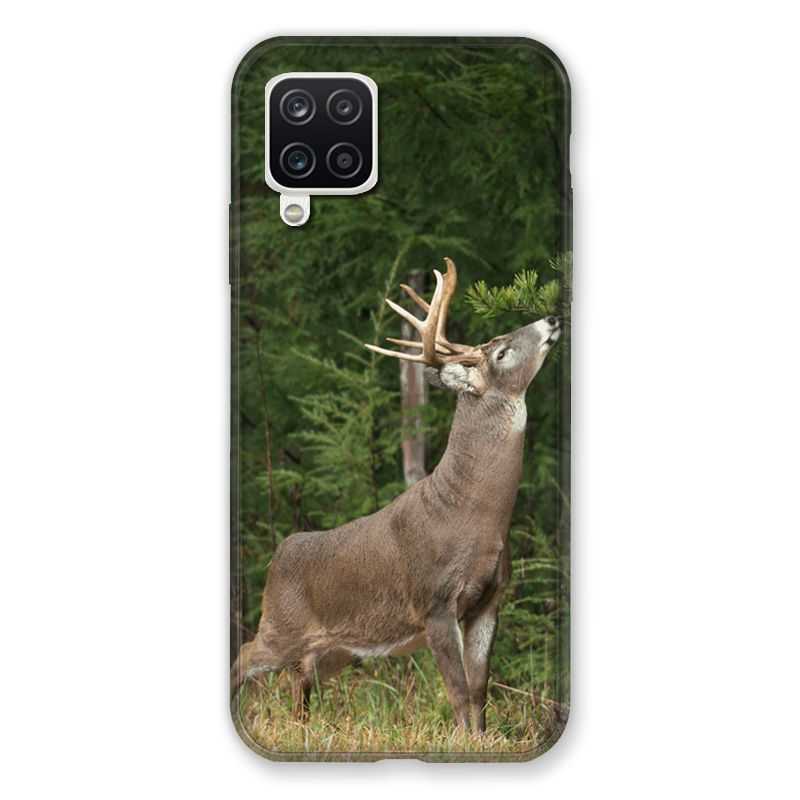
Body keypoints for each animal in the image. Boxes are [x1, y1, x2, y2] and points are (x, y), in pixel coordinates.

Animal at [232, 257, 561, 732]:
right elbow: (458, 691)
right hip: (280, 624)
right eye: (501, 352)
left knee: (299, 684)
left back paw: (303, 728)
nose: (552, 318)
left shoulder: (490, 600)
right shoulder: (435, 602)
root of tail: (278, 556)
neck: (474, 515)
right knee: (244, 656)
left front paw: (482, 740)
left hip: (333, 649)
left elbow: (480, 690)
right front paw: (463, 741)